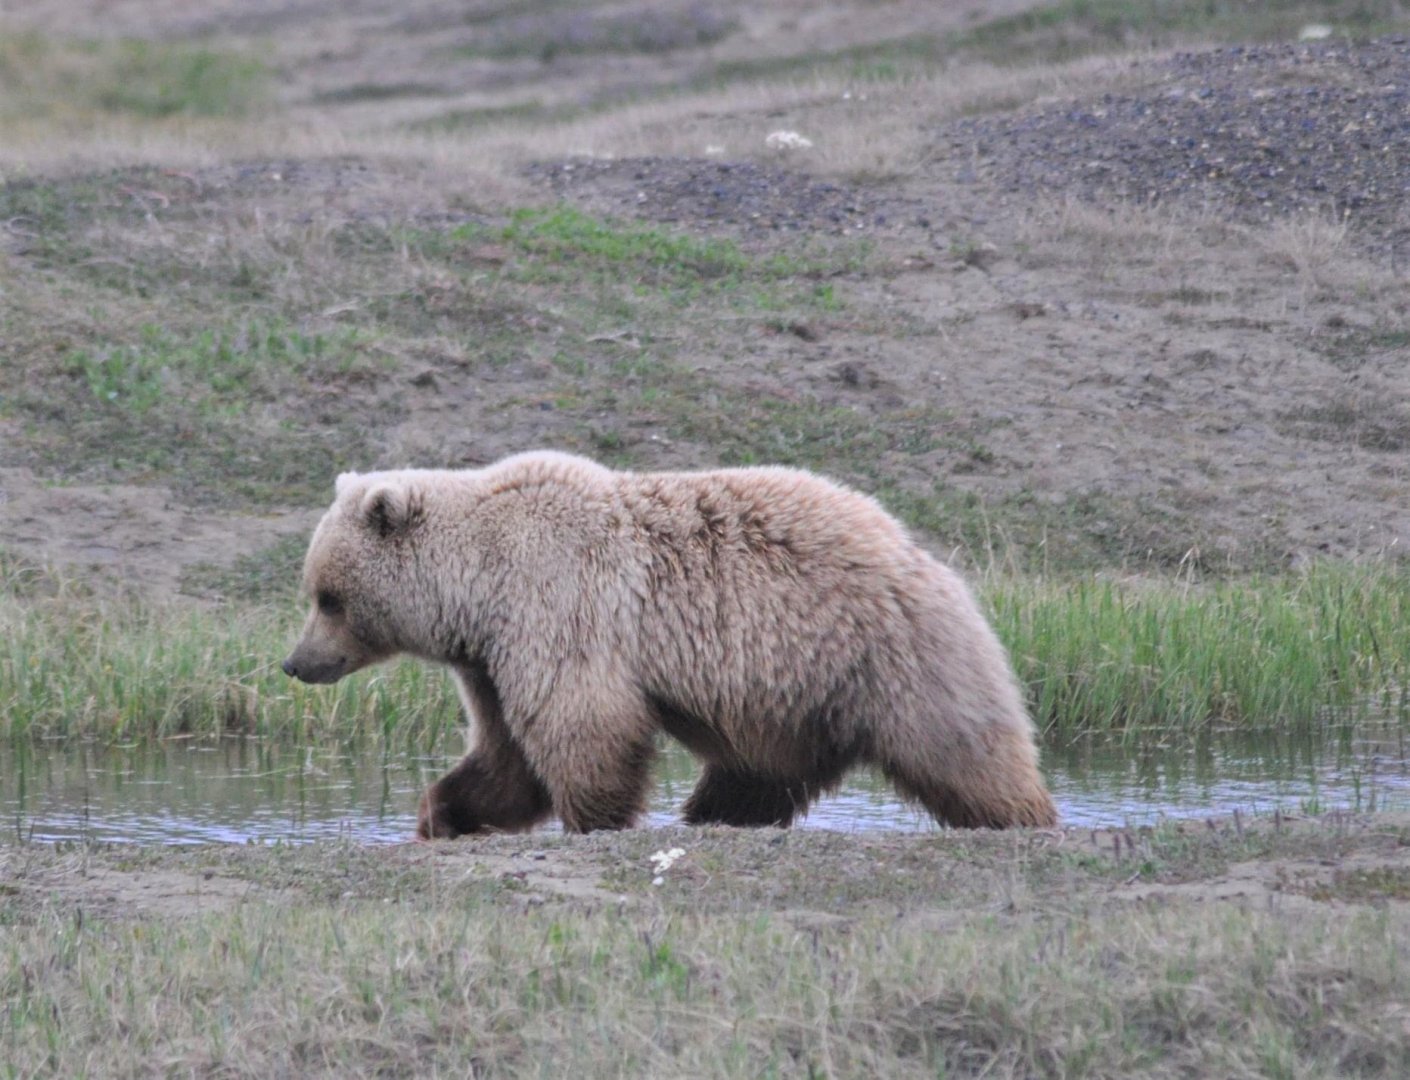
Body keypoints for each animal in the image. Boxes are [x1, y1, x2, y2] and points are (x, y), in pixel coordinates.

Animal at [281, 451, 1057, 837]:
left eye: (329, 597)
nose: (295, 663)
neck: (476, 585)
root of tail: (921, 552)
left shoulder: (554, 604)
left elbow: (583, 724)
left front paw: (595, 821)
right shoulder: (491, 658)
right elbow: (506, 756)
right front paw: (443, 811)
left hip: (884, 654)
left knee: (963, 749)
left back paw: (1024, 816)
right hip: (789, 700)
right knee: (758, 771)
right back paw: (716, 813)